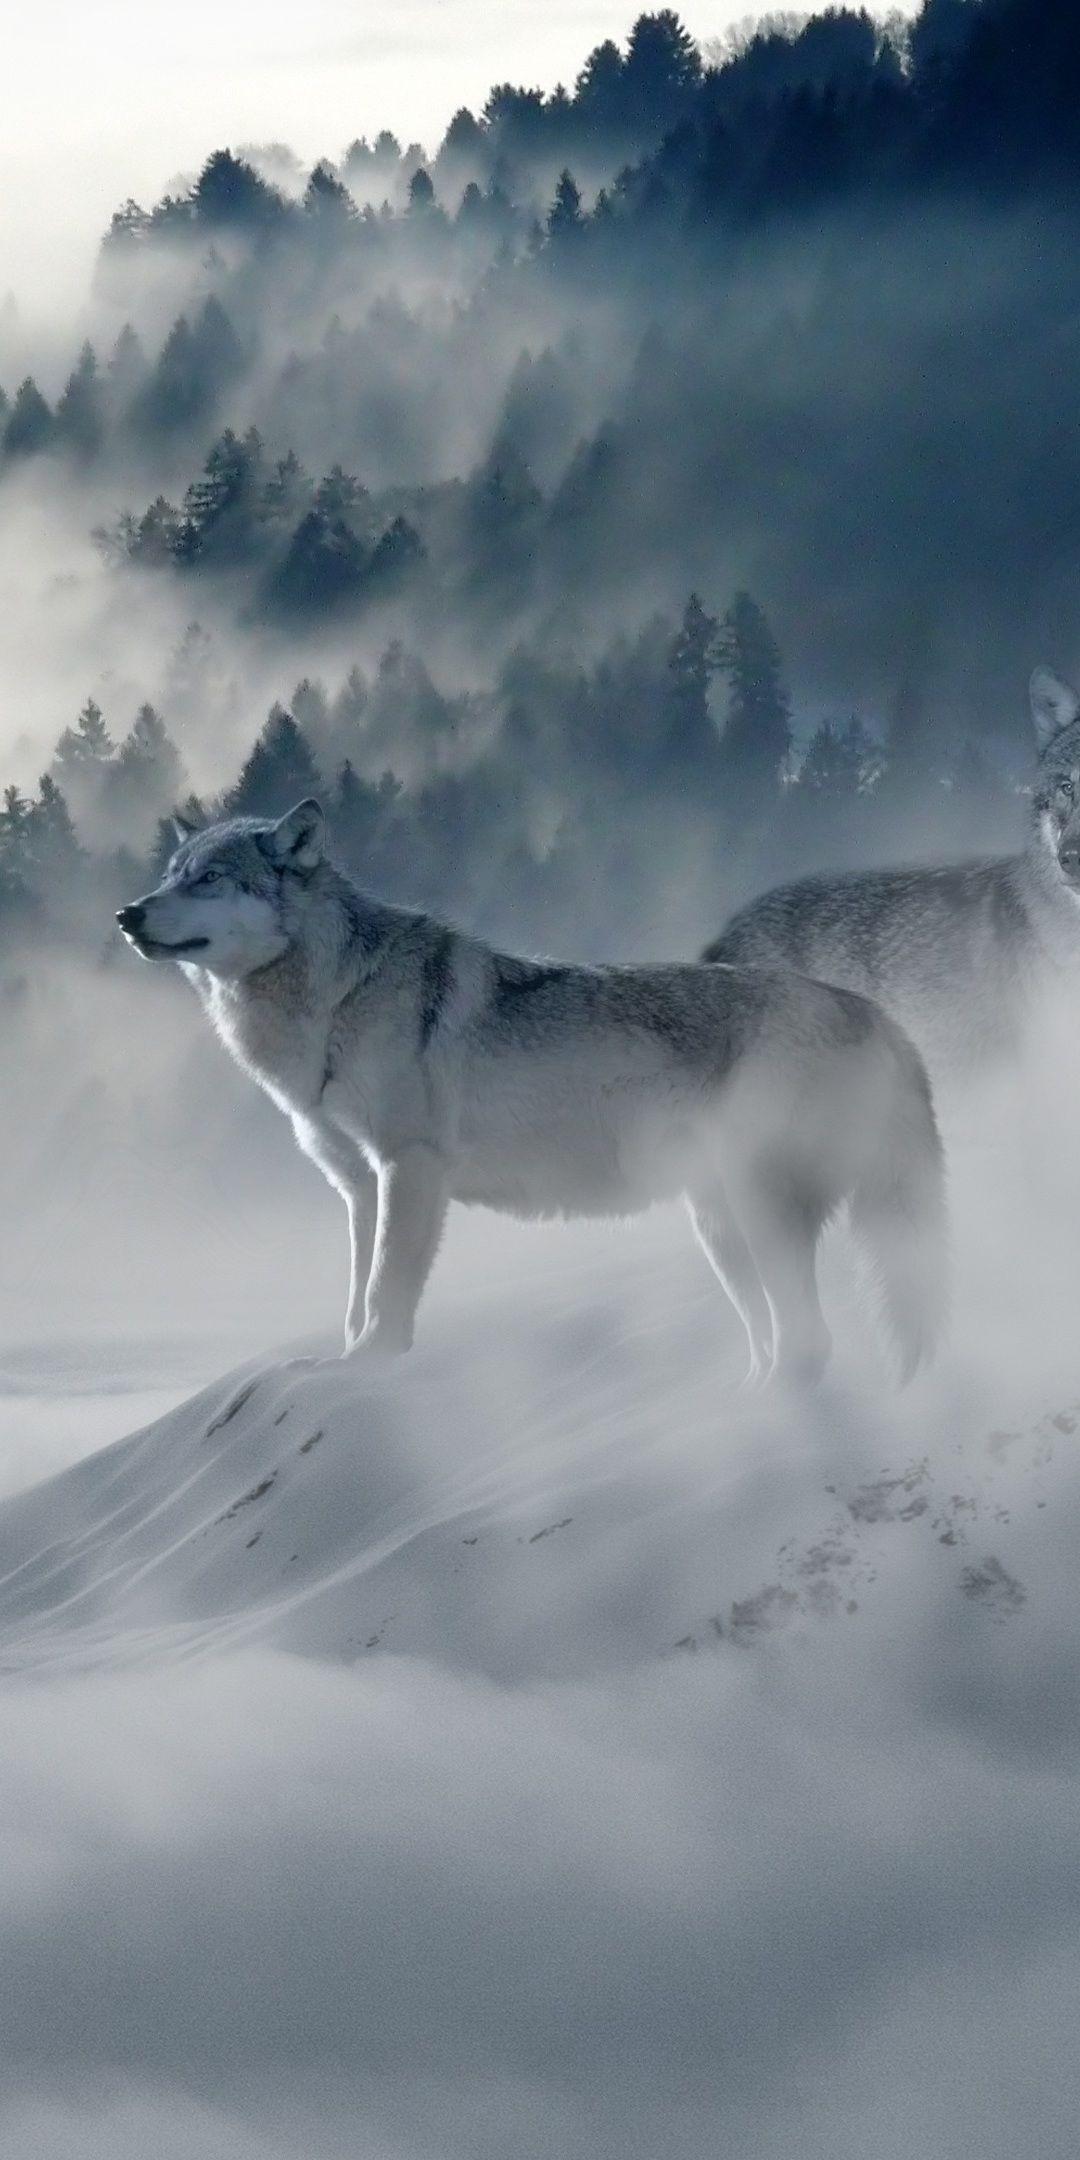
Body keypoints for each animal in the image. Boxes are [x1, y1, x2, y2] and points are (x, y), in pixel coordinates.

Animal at [116, 799, 947, 1386]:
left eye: (209, 878)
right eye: (170, 874)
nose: (127, 913)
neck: (333, 999)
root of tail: (878, 1016)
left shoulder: (410, 1169)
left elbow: (385, 1294)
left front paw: (371, 1368)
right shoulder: (358, 1186)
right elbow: (354, 1298)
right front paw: (339, 1364)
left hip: (757, 1212)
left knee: (811, 1342)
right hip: (719, 1230)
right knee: (777, 1339)